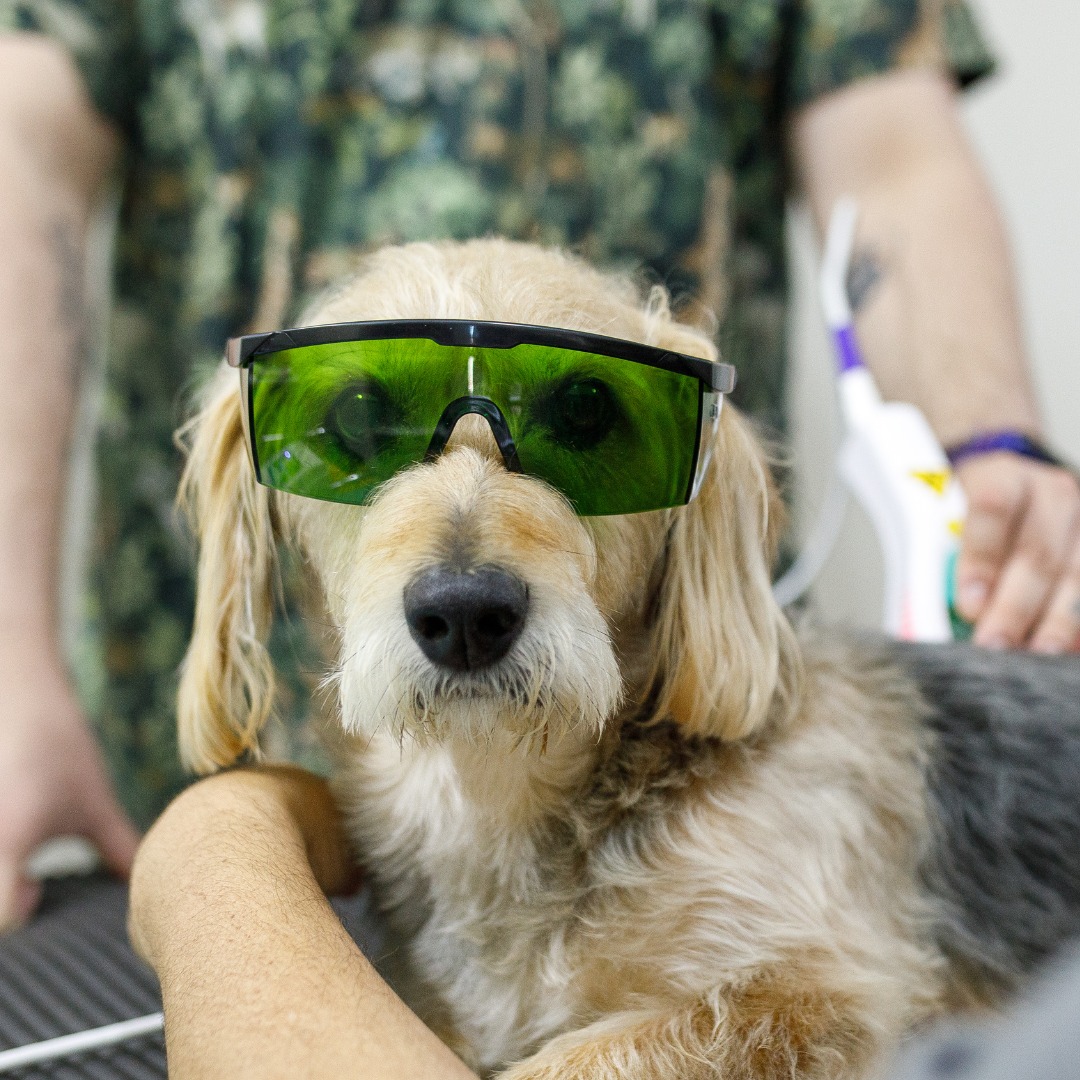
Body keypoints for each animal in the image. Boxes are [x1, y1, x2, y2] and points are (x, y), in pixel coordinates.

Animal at [172, 243, 1080, 1080]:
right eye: (358, 417)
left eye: (584, 411)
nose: (465, 613)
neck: (501, 793)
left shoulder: (827, 997)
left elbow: (589, 1055)